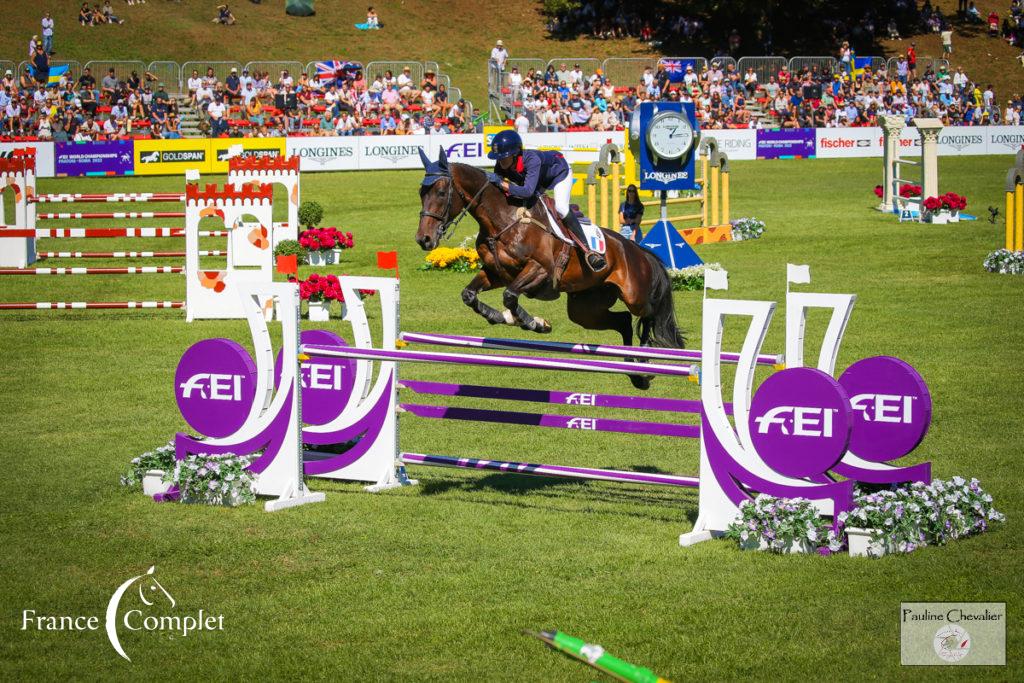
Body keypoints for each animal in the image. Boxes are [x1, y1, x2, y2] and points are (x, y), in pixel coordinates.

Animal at [411, 148, 684, 389]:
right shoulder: (497, 273)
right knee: (625, 322)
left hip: (633, 294)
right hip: (585, 309)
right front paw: (501, 317)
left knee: (648, 316)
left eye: (441, 191)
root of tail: (636, 249)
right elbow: (470, 295)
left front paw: (534, 323)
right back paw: (635, 372)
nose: (424, 239)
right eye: (421, 192)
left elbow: (510, 296)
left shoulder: (540, 271)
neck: (504, 220)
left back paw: (645, 361)